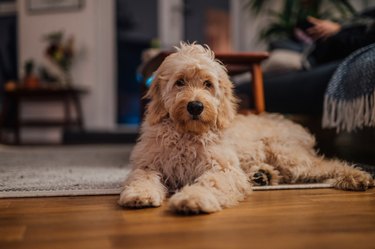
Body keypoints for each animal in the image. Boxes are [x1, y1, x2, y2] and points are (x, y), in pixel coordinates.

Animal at [119, 42, 374, 214]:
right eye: (180, 82)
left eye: (207, 84)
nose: (195, 106)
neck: (187, 134)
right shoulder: (148, 164)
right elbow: (142, 177)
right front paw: (140, 193)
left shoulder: (223, 169)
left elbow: (211, 182)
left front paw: (193, 198)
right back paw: (263, 175)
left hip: (289, 156)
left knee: (328, 163)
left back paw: (358, 176)